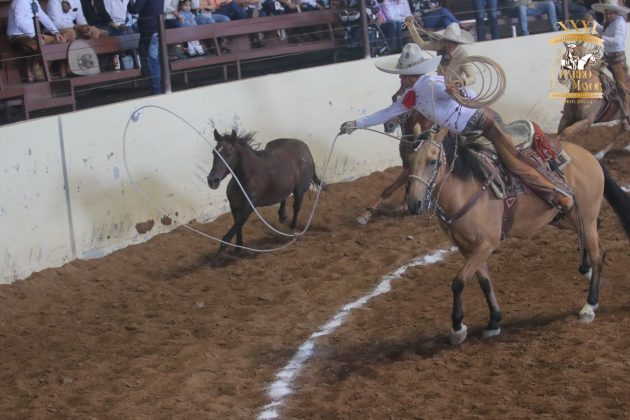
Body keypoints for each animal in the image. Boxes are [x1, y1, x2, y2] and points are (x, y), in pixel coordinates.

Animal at [207, 129, 320, 260]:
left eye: (229, 153)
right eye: (214, 152)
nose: (212, 180)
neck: (248, 177)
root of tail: (305, 148)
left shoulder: (247, 209)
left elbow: (228, 236)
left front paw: (214, 261)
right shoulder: (234, 206)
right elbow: (238, 228)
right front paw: (238, 248)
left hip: (299, 190)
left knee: (296, 207)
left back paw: (292, 230)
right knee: (284, 196)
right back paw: (282, 216)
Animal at [404, 121, 630, 344]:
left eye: (433, 161)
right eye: (409, 162)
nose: (414, 204)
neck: (466, 190)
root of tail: (590, 156)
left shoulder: (486, 245)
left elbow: (458, 282)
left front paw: (458, 328)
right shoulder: (467, 248)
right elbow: (484, 282)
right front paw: (494, 322)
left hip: (583, 216)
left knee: (597, 252)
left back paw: (589, 306)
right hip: (567, 218)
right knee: (597, 239)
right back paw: (589, 273)